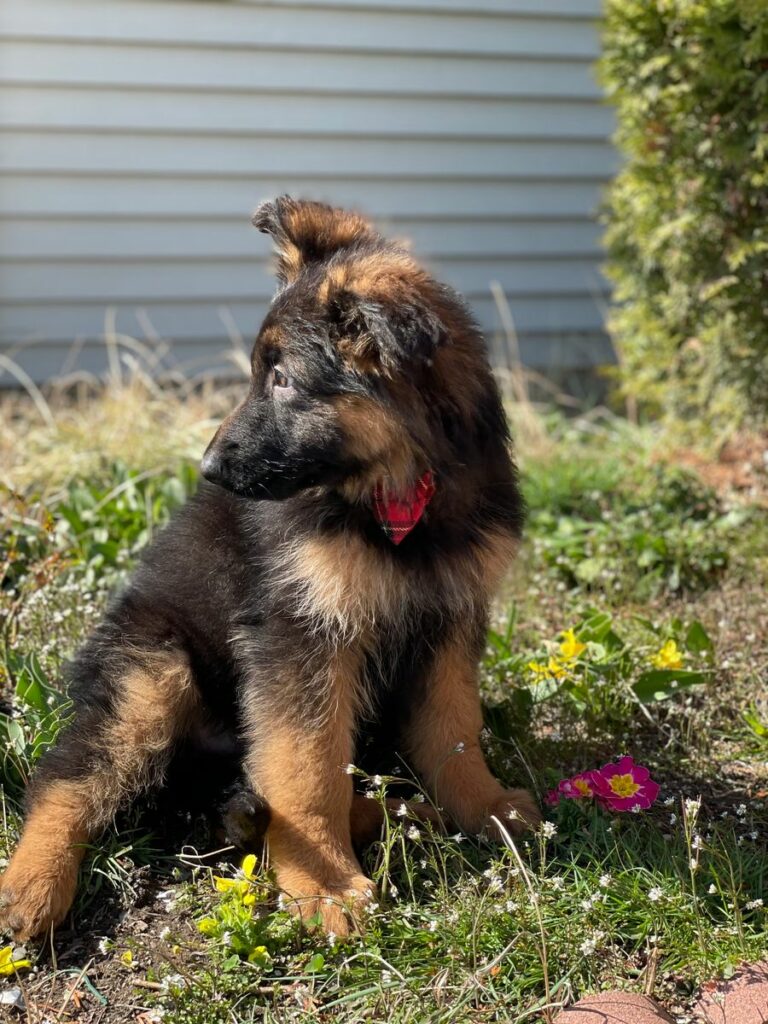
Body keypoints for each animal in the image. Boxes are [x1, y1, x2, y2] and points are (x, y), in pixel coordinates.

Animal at [0, 195, 540, 937]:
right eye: (262, 375)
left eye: (283, 380)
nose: (207, 469)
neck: (398, 494)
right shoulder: (299, 633)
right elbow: (307, 766)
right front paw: (325, 886)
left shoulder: (450, 620)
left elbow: (454, 729)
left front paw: (483, 807)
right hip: (151, 676)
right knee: (65, 780)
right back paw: (31, 885)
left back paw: (395, 812)